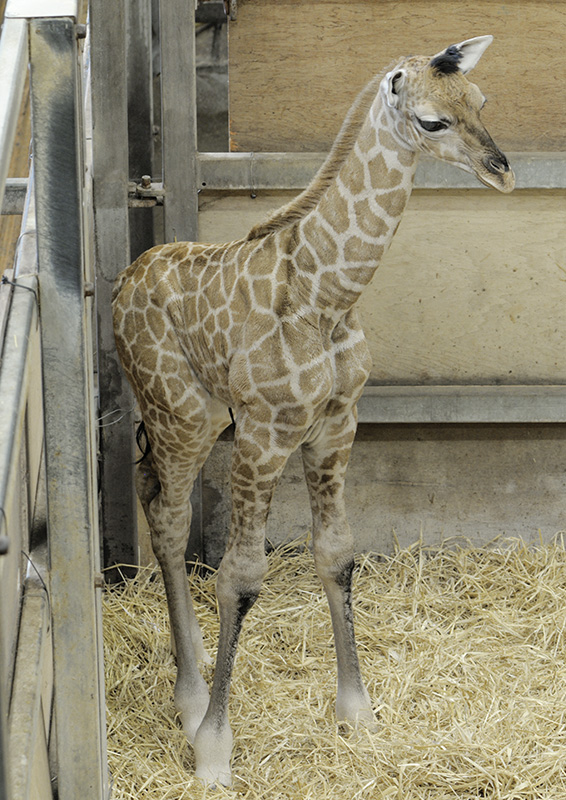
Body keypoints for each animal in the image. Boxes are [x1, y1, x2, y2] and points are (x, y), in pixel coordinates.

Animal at [112, 35, 514, 786]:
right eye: (432, 120)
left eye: (479, 100)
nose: (501, 171)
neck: (327, 295)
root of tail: (123, 280)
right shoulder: (265, 433)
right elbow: (241, 577)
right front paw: (214, 752)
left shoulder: (336, 423)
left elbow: (336, 552)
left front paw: (358, 715)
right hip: (182, 416)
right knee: (170, 520)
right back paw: (190, 698)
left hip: (194, 420)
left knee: (155, 499)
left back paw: (195, 664)